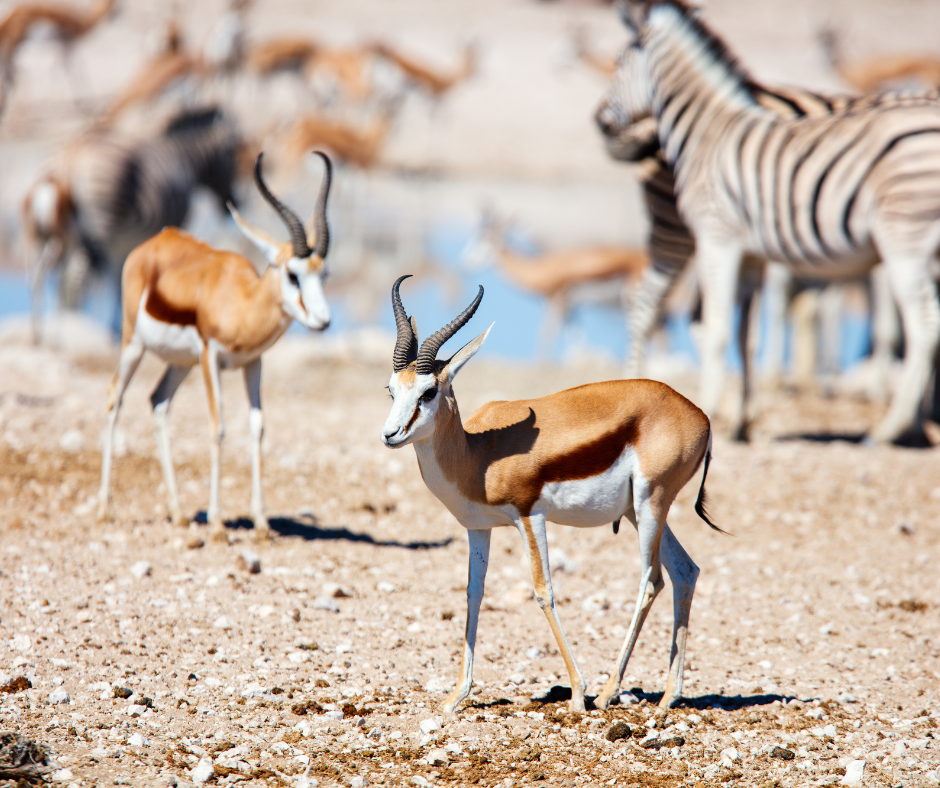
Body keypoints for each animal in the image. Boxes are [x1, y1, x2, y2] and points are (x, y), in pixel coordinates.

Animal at [23, 106, 241, 342]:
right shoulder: (170, 225)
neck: (183, 157)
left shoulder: (122, 245)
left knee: (43, 276)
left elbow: (119, 282)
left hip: (50, 236)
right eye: (231, 154)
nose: (236, 202)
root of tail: (67, 161)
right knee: (80, 279)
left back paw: (45, 333)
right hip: (97, 228)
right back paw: (78, 329)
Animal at [594, 0, 940, 444]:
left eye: (620, 61)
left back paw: (892, 427)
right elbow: (743, 334)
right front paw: (739, 420)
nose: (600, 120)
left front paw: (719, 412)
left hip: (902, 239)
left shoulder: (719, 237)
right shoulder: (748, 251)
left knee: (924, 325)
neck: (709, 127)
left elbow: (723, 330)